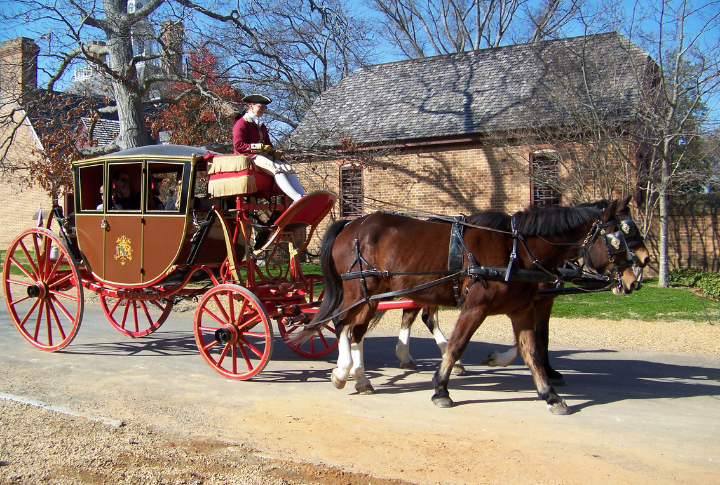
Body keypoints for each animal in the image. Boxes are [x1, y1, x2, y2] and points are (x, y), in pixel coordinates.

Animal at [296, 199, 636, 412]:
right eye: (618, 238)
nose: (633, 280)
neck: (516, 249)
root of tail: (351, 224)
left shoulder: (523, 309)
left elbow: (532, 350)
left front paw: (550, 395)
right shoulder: (475, 307)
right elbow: (458, 344)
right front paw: (441, 390)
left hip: (371, 294)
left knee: (356, 331)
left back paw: (361, 378)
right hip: (357, 290)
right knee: (341, 324)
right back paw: (344, 371)